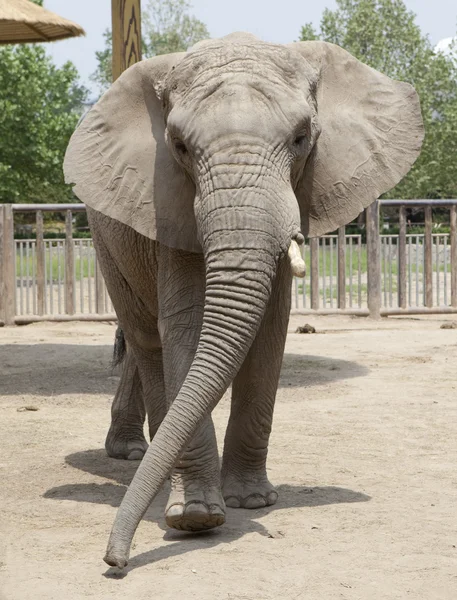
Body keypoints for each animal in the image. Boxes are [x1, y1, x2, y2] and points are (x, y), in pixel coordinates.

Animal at [62, 32, 422, 568]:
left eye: (301, 138)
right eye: (179, 147)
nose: (115, 560)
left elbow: (270, 330)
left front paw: (251, 502)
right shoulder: (168, 201)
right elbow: (186, 327)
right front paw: (194, 517)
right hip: (105, 233)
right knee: (147, 339)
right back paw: (142, 461)